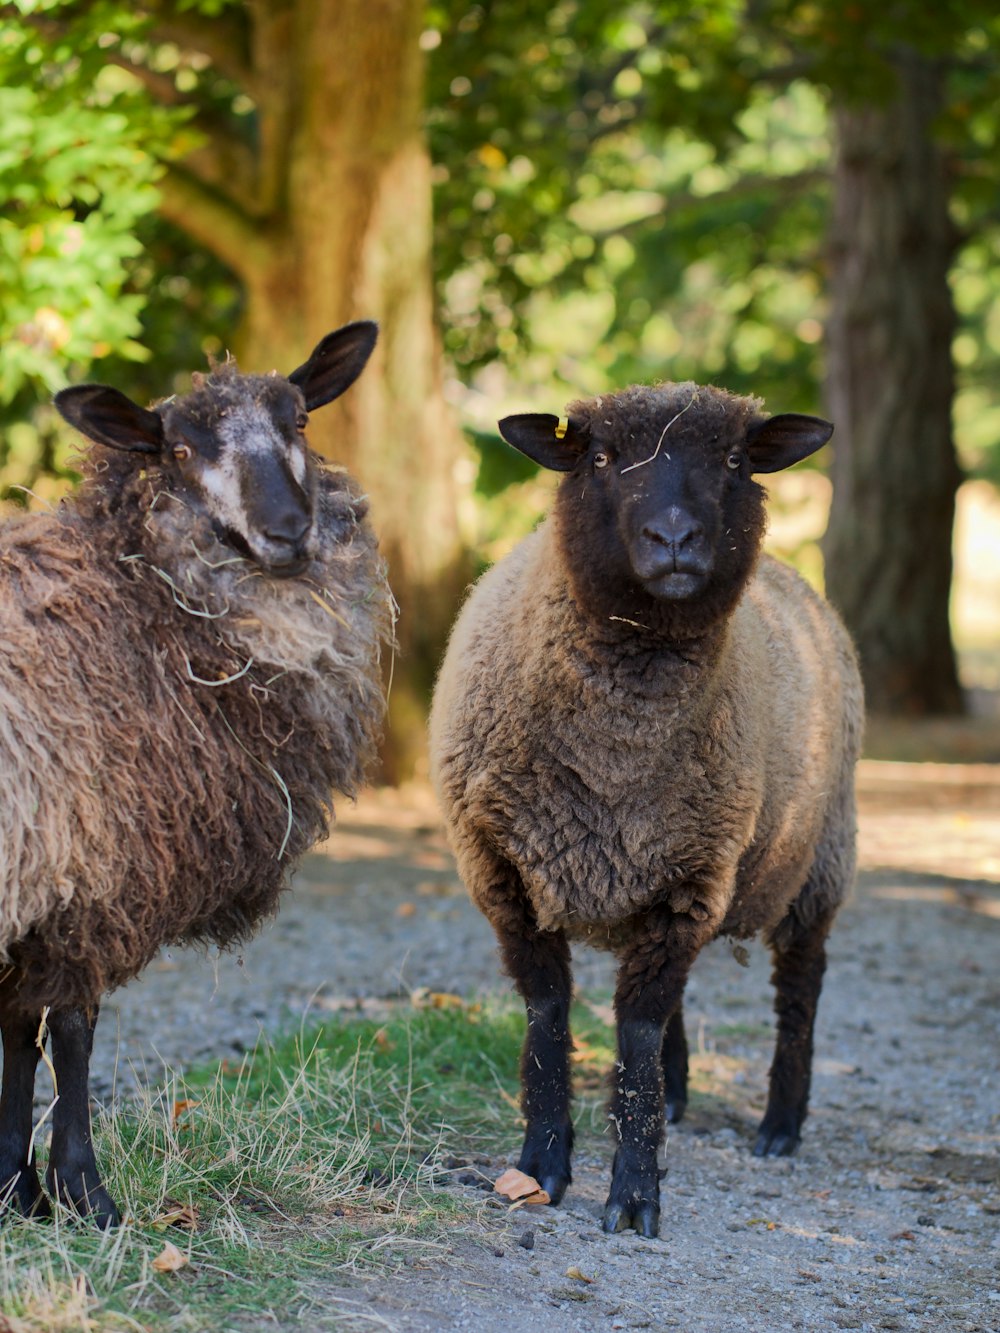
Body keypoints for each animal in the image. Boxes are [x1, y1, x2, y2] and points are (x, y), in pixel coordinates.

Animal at [0, 322, 394, 1226]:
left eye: (299, 421)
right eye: (179, 448)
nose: (288, 529)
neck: (138, 596)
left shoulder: (49, 887)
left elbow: (21, 1033)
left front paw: (18, 1191)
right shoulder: (90, 871)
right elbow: (69, 1028)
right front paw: (84, 1193)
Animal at [426, 378, 864, 1237]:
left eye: (733, 461)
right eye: (598, 457)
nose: (674, 537)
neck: (614, 756)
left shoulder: (692, 876)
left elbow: (632, 1034)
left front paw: (632, 1195)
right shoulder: (506, 872)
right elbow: (551, 1016)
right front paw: (542, 1166)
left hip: (819, 858)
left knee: (799, 989)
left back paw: (780, 1124)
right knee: (675, 1001)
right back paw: (684, 1093)